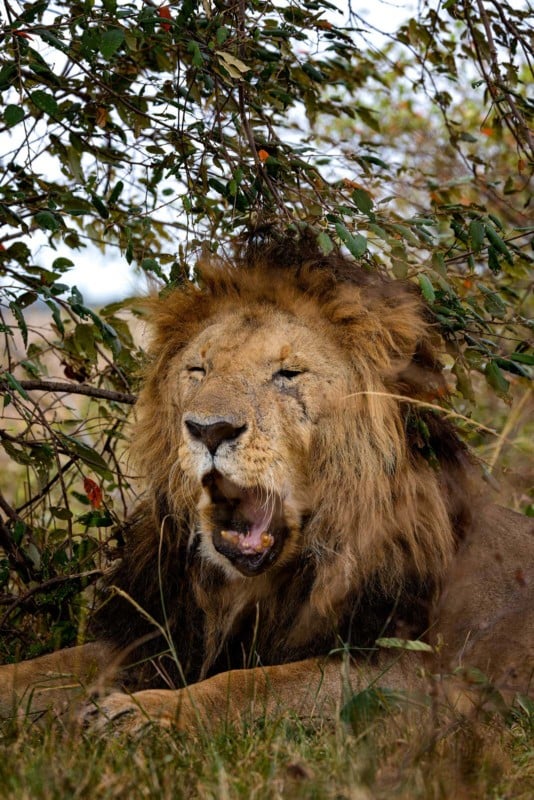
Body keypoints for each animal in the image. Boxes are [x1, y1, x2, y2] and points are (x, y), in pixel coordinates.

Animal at [1, 241, 534, 736]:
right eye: (198, 370)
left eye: (287, 374)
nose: (209, 430)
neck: (246, 587)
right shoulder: (155, 636)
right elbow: (42, 670)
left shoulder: (406, 674)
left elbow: (248, 685)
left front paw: (144, 712)